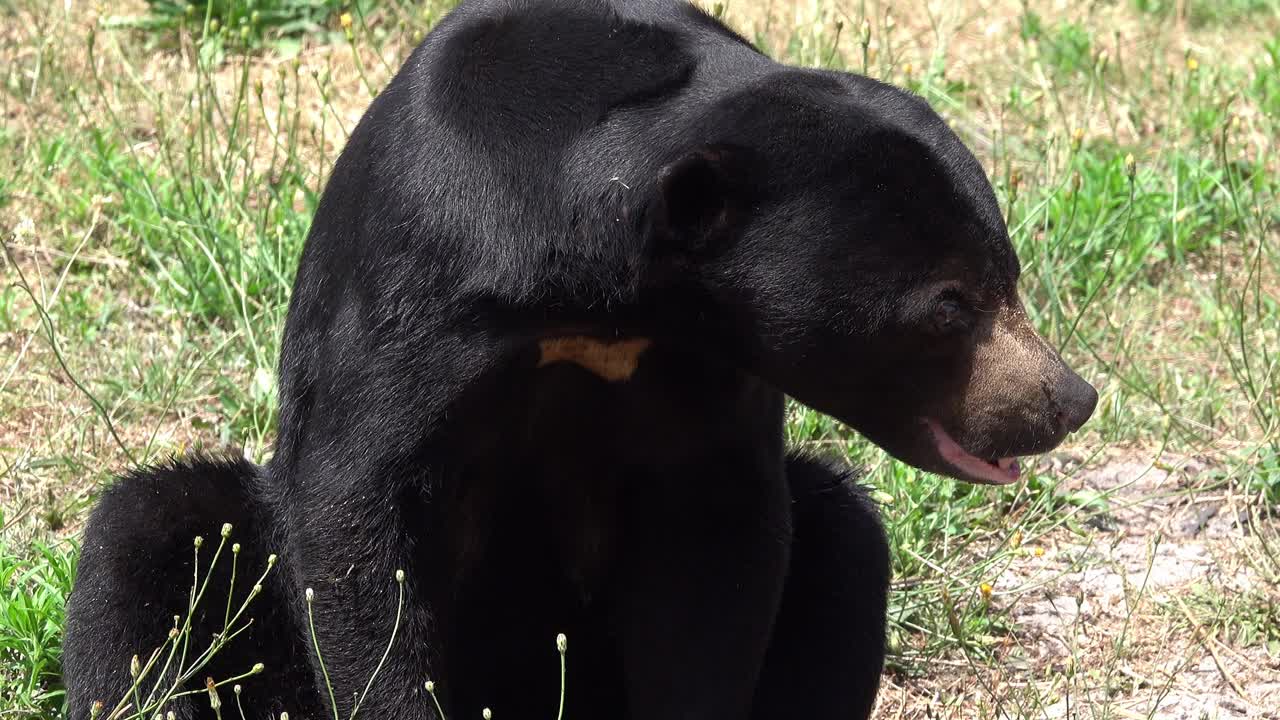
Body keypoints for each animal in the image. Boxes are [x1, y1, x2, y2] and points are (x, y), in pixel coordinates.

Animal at [62, 1, 1100, 717]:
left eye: (1006, 275)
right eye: (950, 303)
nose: (1068, 398)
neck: (599, 300)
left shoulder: (699, 373)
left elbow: (716, 545)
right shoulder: (413, 302)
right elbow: (359, 528)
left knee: (843, 534)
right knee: (147, 548)